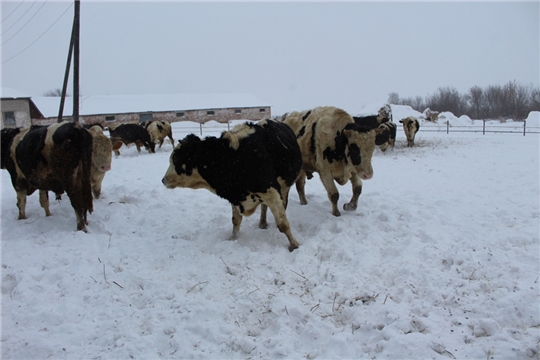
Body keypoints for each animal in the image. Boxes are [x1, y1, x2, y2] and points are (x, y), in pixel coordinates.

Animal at [160, 119, 304, 252]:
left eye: (176, 159)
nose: (163, 179)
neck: (233, 158)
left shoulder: (271, 191)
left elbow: (283, 224)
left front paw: (295, 245)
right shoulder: (236, 196)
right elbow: (236, 220)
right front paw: (233, 239)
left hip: (284, 187)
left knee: (281, 204)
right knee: (264, 207)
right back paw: (262, 223)